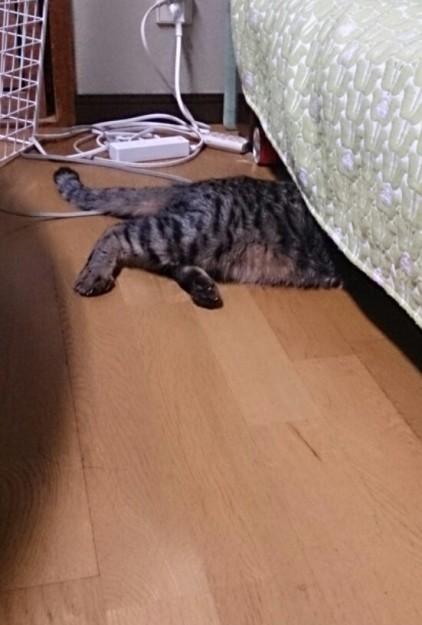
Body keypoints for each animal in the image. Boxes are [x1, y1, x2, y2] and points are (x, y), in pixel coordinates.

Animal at [54, 167, 346, 309]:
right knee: (116, 231)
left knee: (170, 264)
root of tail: (187, 187)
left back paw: (201, 287)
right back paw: (95, 274)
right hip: (193, 232)